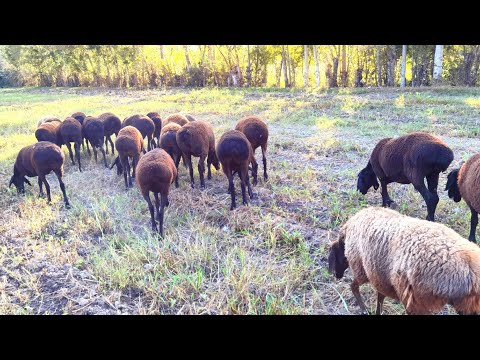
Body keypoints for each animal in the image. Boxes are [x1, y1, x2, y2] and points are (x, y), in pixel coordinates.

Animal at [328, 205, 480, 316]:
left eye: (332, 256)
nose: (334, 275)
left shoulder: (366, 270)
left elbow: (358, 289)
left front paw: (366, 310)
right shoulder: (381, 276)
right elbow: (380, 298)